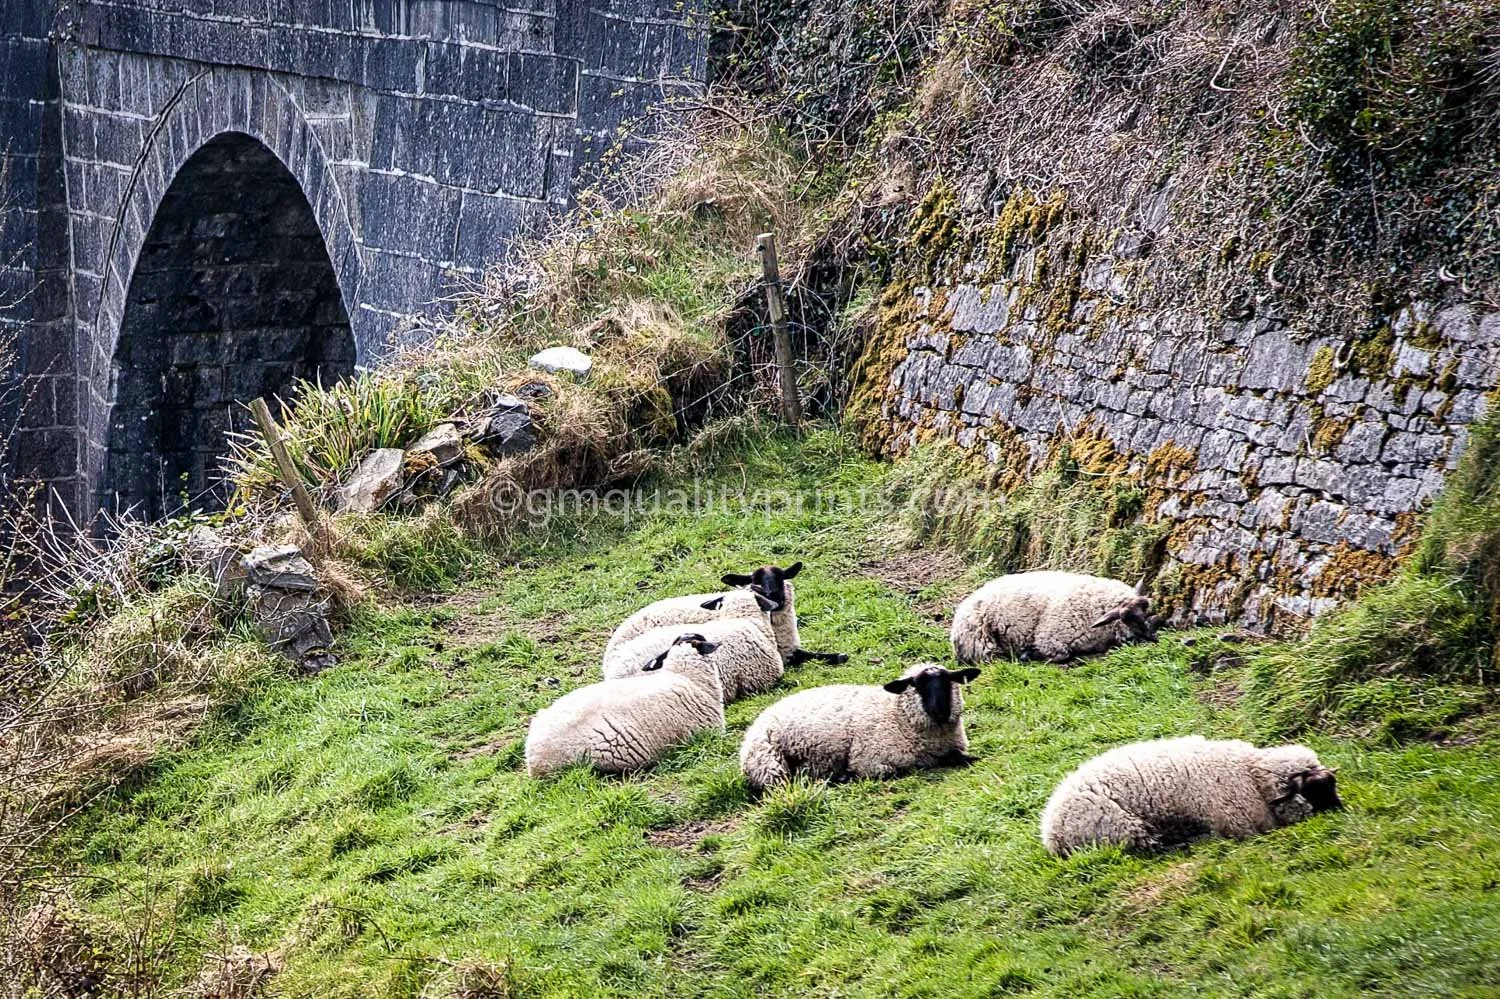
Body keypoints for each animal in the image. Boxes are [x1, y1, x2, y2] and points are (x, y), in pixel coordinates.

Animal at [738, 662, 981, 789]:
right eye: (917, 685)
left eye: (948, 681)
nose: (940, 711)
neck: (898, 715)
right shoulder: (869, 761)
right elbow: (893, 771)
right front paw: (847, 775)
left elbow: (965, 758)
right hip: (771, 765)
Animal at [950, 570, 1159, 665]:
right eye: (1129, 619)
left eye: (1145, 612)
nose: (1153, 640)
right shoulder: (1051, 641)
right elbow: (1060, 655)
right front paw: (1029, 654)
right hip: (981, 642)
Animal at [1039, 736, 1342, 856]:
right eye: (1315, 789)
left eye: (1332, 784)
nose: (1340, 812)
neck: (1251, 774)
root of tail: (1050, 832)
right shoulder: (1236, 823)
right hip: (1121, 829)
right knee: (1151, 848)